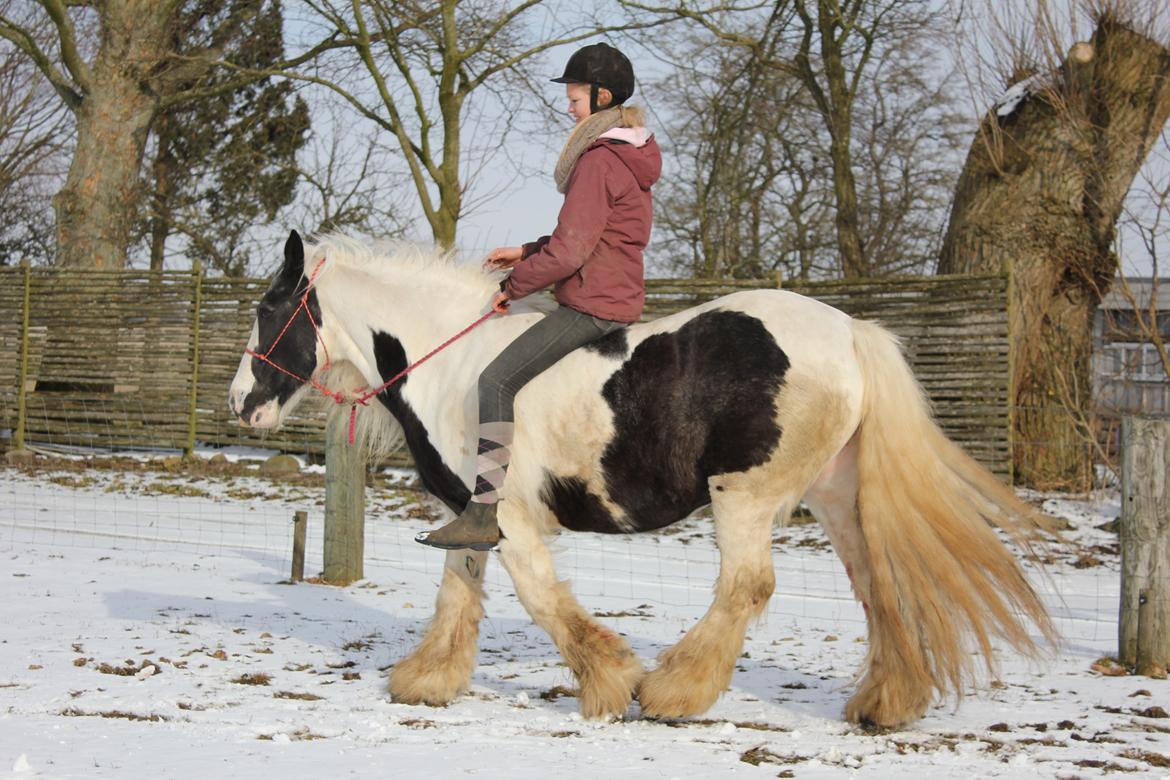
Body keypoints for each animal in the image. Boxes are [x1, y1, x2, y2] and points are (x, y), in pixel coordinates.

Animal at [223, 230, 1057, 725]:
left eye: (268, 308)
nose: (238, 403)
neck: (451, 363)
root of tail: (850, 331)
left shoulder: (510, 517)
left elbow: (540, 598)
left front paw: (612, 682)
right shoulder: (470, 516)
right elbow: (458, 592)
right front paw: (428, 680)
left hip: (744, 496)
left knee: (748, 586)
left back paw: (675, 692)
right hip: (836, 498)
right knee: (878, 583)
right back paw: (885, 701)